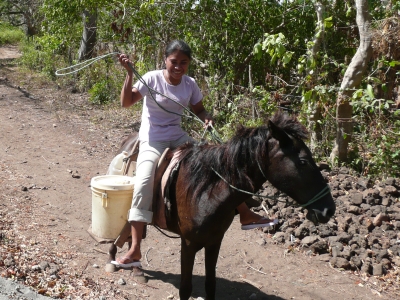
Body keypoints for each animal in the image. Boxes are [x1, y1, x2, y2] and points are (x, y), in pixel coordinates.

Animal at [109, 112, 334, 300]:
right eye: (303, 161)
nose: (329, 209)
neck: (205, 192)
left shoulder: (215, 241)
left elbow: (210, 285)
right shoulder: (188, 244)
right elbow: (185, 289)